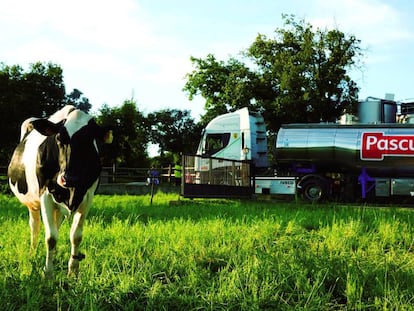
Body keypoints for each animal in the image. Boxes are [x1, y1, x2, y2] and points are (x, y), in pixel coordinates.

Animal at [8, 105, 111, 278]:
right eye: (59, 138)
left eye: (89, 141)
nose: (69, 178)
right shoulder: (45, 195)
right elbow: (51, 238)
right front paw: (48, 273)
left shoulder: (87, 197)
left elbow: (76, 236)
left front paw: (73, 271)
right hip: (32, 203)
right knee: (35, 227)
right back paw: (32, 254)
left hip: (58, 209)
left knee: (56, 225)